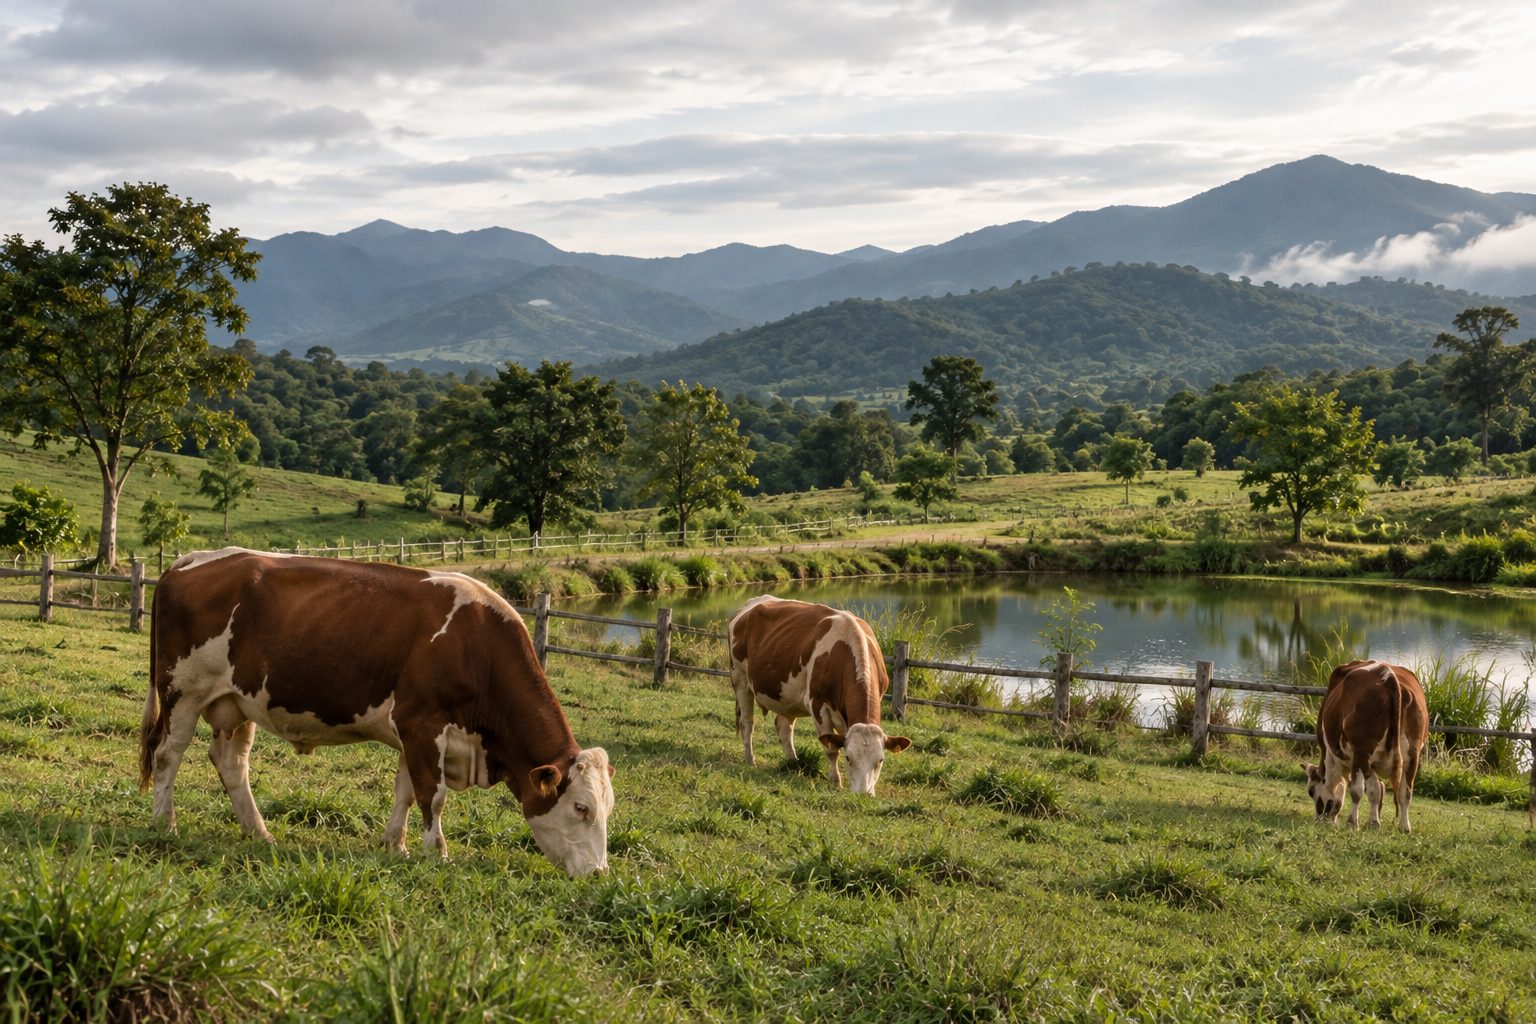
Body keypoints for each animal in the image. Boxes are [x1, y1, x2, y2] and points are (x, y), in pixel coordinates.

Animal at [139, 548, 615, 876]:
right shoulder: (423, 724)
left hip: (237, 702)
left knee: (231, 764)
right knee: (167, 755)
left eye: (607, 808)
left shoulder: (414, 732)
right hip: (183, 690)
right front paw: (437, 853)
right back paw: (165, 823)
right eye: (581, 808)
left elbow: (405, 791)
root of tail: (192, 559)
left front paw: (396, 846)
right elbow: (432, 796)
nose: (598, 874)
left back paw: (259, 832)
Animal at [727, 596, 910, 795]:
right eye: (848, 758)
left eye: (880, 760)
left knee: (784, 728)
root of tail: (753, 602)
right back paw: (750, 760)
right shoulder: (818, 705)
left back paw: (794, 764)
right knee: (747, 723)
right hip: (740, 678)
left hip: (787, 697)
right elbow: (831, 749)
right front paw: (835, 781)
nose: (863, 794)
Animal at [1301, 659, 1428, 832]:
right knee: (1405, 792)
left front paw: (1362, 822)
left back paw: (1352, 821)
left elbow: (1363, 789)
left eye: (1311, 791)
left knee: (1357, 790)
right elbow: (1377, 789)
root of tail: (1387, 675)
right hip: (1412, 756)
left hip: (1361, 751)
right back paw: (1404, 827)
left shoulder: (1336, 756)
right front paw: (1374, 821)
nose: (1319, 818)